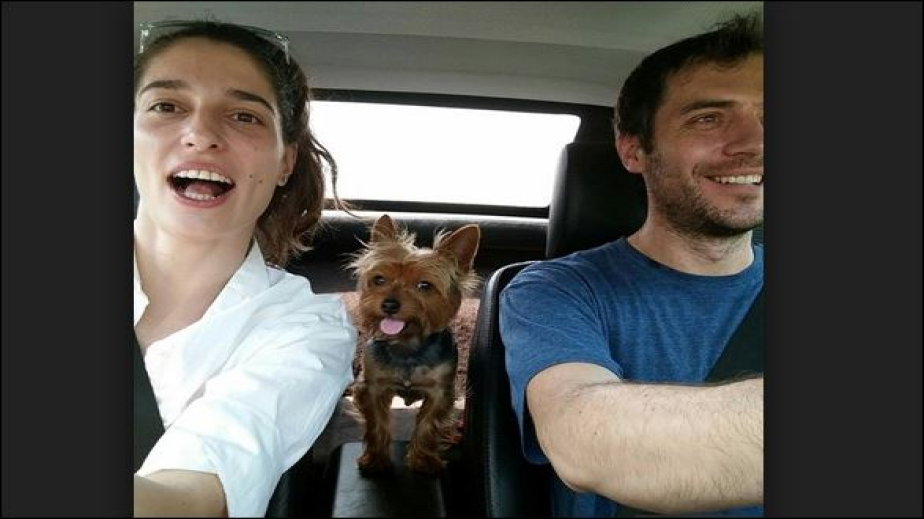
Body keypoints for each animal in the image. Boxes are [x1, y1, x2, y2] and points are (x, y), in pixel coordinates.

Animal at [348, 214, 480, 475]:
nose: (389, 304)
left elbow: (428, 426)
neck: (406, 346)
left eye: (424, 286)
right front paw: (375, 459)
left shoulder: (440, 392)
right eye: (379, 279)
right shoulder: (373, 387)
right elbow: (377, 423)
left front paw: (424, 460)